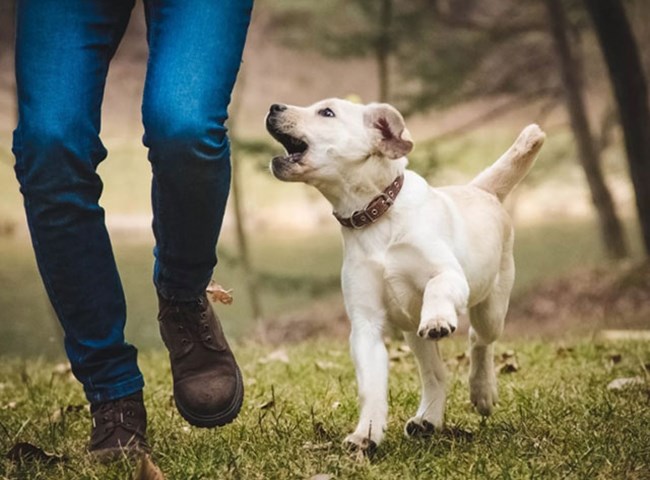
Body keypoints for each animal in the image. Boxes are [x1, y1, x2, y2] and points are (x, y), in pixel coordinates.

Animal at [264, 99, 540, 452]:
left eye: (327, 112)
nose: (274, 106)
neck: (375, 216)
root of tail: (480, 189)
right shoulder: (365, 325)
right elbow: (371, 387)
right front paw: (365, 435)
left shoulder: (450, 275)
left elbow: (438, 286)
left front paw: (437, 319)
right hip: (412, 333)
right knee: (436, 374)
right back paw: (428, 419)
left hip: (491, 307)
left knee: (479, 340)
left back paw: (482, 391)